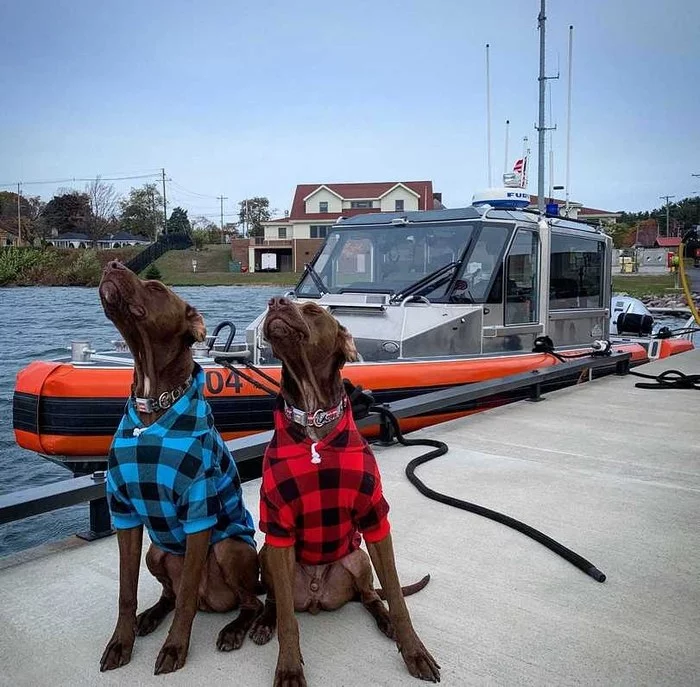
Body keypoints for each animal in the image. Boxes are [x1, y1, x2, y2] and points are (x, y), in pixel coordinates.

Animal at [249, 298, 440, 687]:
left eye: (313, 309)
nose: (276, 302)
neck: (313, 417)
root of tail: (316, 596)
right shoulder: (277, 528)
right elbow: (288, 621)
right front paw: (288, 668)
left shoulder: (375, 518)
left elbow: (396, 596)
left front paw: (414, 651)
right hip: (268, 554)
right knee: (277, 602)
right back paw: (263, 623)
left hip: (359, 557)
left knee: (369, 596)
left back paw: (384, 620)